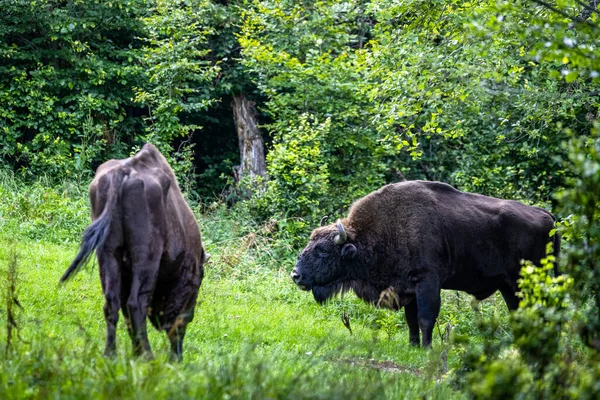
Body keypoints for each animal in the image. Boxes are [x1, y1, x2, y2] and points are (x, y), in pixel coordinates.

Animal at [59, 143, 209, 360]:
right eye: (196, 285)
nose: (177, 356)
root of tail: (123, 172)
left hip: (107, 253)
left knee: (112, 303)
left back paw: (111, 353)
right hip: (146, 258)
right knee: (135, 304)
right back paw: (147, 355)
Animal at [292, 181, 560, 346]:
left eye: (323, 250)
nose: (296, 275)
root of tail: (548, 216)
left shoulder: (427, 282)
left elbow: (425, 318)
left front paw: (427, 348)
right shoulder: (406, 288)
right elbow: (411, 320)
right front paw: (413, 346)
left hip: (527, 283)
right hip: (510, 287)